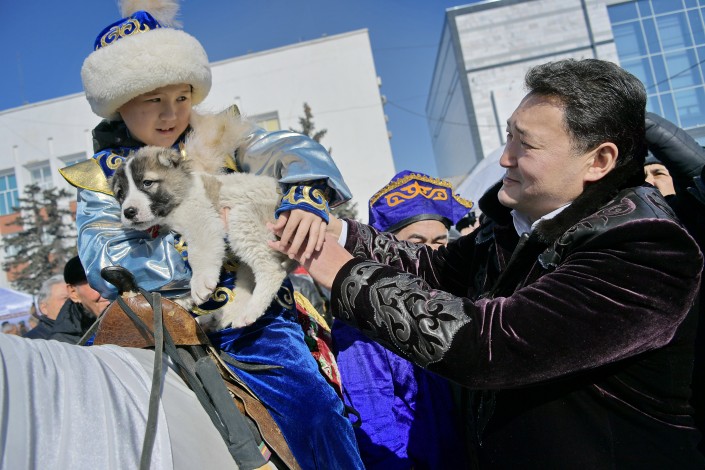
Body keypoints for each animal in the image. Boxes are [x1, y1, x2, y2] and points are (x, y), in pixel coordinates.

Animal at [110, 112, 294, 329]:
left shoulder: (201, 220)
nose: (129, 212)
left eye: (147, 183)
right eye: (121, 194)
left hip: (243, 220)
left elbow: (199, 253)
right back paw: (221, 317)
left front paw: (200, 283)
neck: (181, 195)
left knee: (271, 270)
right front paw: (179, 301)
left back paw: (250, 312)